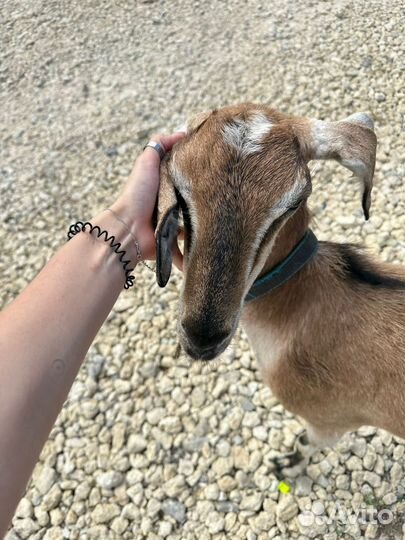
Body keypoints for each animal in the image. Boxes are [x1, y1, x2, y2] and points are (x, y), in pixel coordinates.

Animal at [154, 103, 404, 474]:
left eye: (294, 201)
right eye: (181, 192)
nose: (202, 338)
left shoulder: (330, 422)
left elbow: (305, 444)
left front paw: (283, 466)